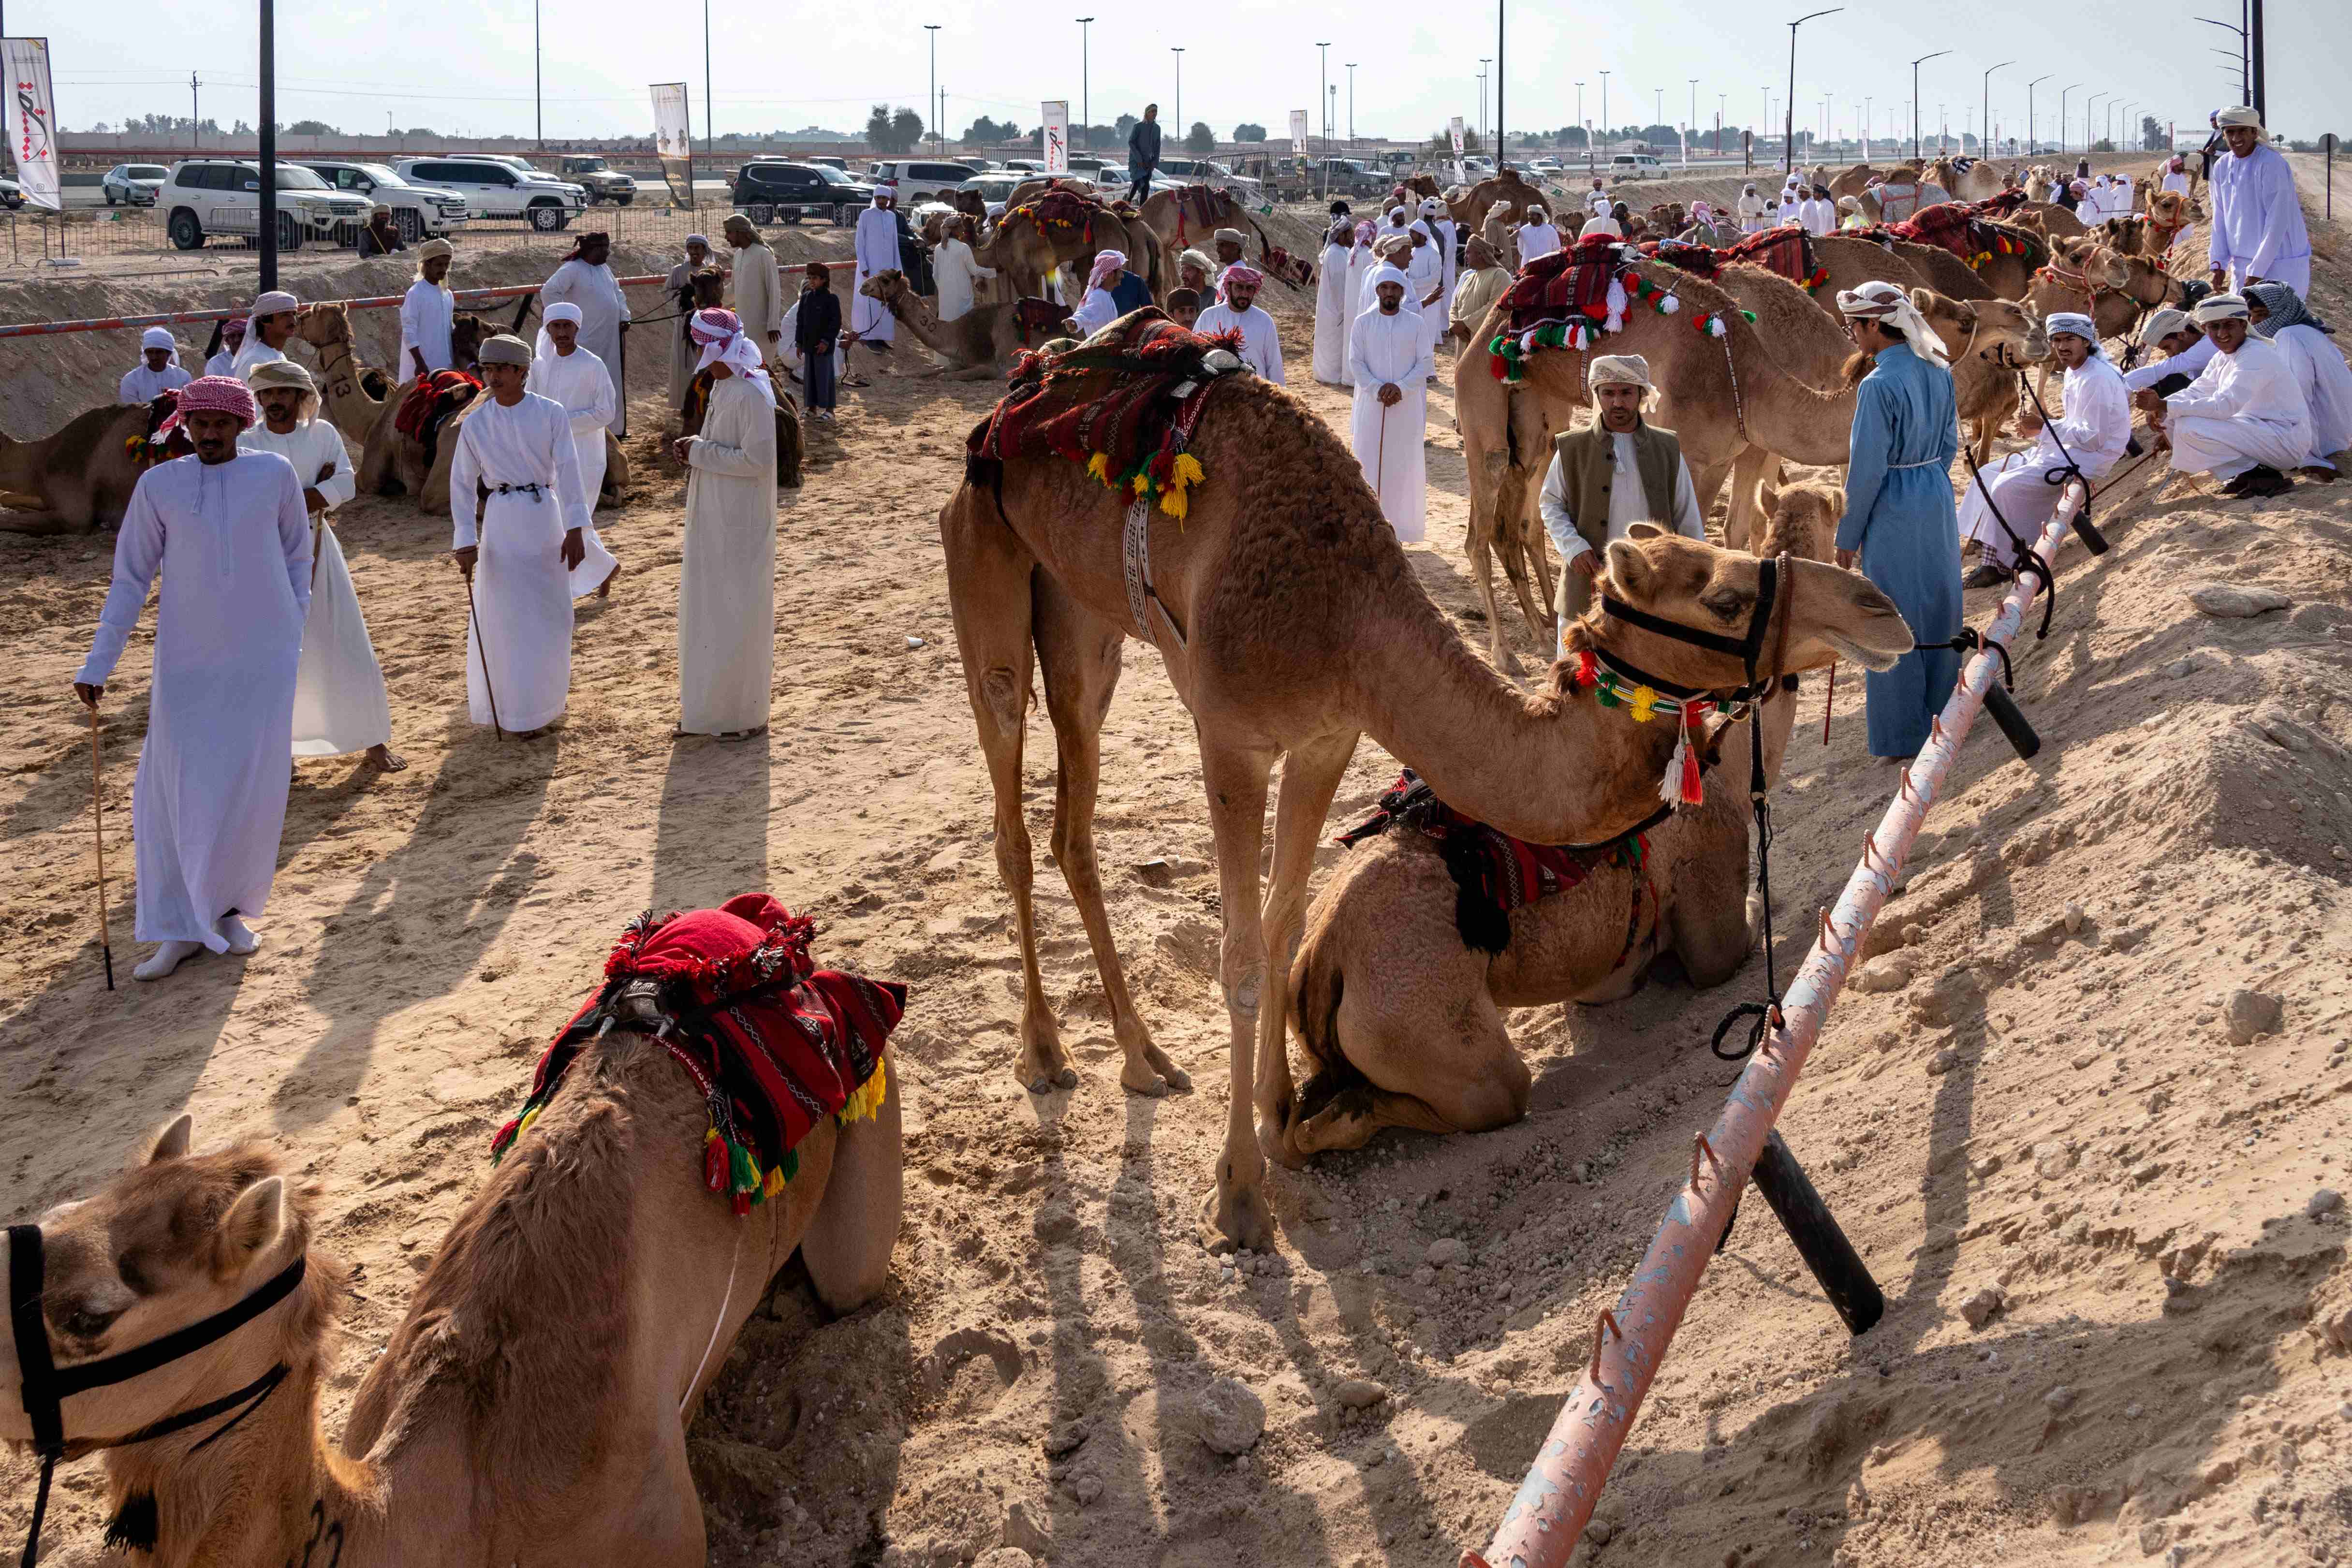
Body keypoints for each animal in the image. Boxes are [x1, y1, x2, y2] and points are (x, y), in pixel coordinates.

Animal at [856, 268, 1058, 381]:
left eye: (885, 280)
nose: (863, 287)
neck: (956, 334)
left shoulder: (990, 367)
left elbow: (944, 377)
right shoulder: (957, 362)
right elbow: (926, 372)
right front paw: (896, 374)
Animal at [936, 359, 1910, 1241]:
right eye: (1726, 595)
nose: (1879, 606)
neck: (1348, 615)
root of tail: (998, 421)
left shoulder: (1329, 735)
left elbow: (1286, 923)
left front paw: (1275, 1108)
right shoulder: (1232, 737)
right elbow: (1243, 956)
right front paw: (1241, 1194)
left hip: (1080, 619)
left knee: (1073, 816)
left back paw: (1143, 1056)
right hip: (984, 556)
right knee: (1009, 793)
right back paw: (1045, 1050)